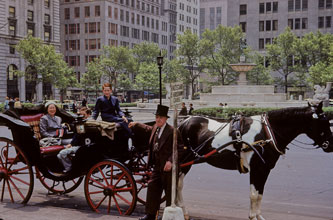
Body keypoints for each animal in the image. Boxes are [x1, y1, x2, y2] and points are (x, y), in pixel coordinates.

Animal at [175, 103, 330, 220]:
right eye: (323, 122)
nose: (331, 145)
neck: (266, 133)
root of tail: (183, 122)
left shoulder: (264, 169)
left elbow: (260, 194)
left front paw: (258, 216)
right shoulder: (257, 168)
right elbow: (254, 195)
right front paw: (252, 216)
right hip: (185, 161)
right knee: (178, 184)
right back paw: (181, 209)